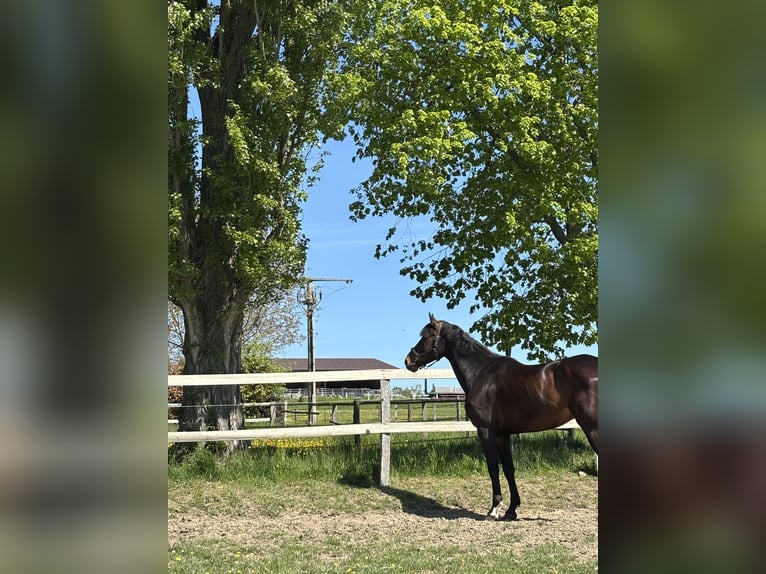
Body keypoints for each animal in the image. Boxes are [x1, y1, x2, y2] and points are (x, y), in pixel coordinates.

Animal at [404, 313, 598, 520]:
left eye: (426, 337)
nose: (408, 360)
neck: (481, 372)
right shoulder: (502, 434)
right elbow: (508, 468)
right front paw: (512, 509)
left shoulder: (485, 430)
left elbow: (493, 467)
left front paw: (495, 508)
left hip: (592, 428)